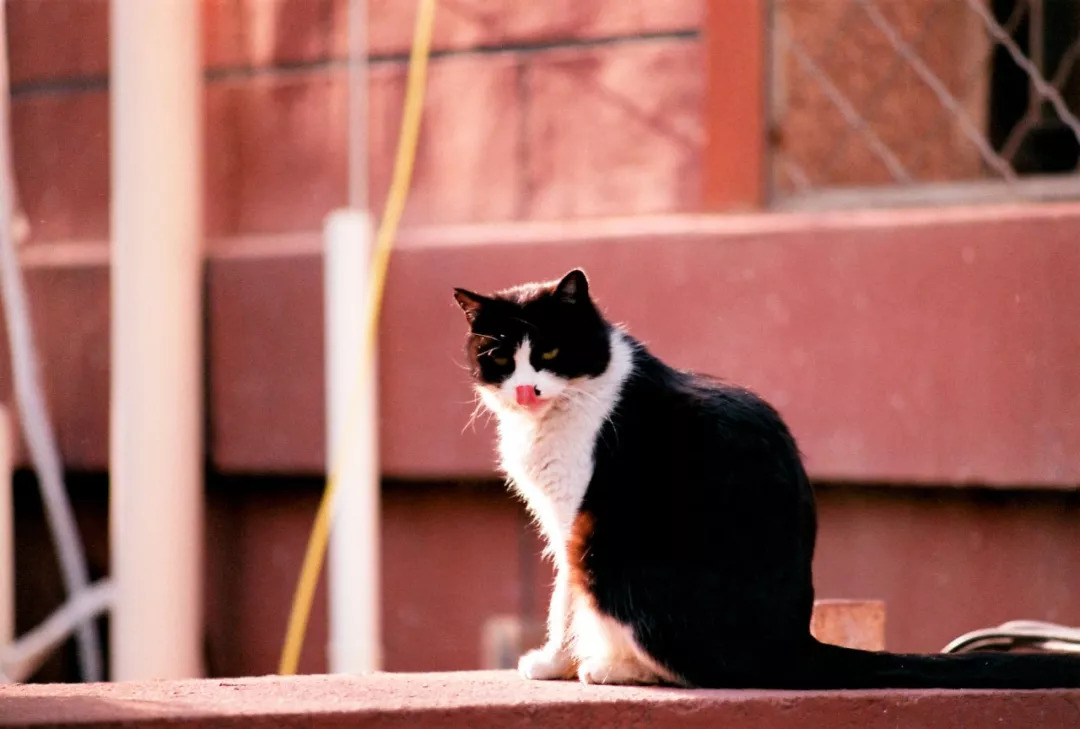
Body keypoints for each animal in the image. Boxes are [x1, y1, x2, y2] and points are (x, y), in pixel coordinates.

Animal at [453, 270, 1080, 691]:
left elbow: (564, 601)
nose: (527, 389)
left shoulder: (572, 516)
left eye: (552, 350)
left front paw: (552, 662)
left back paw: (612, 668)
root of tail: (795, 644)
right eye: (500, 358)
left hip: (605, 551)